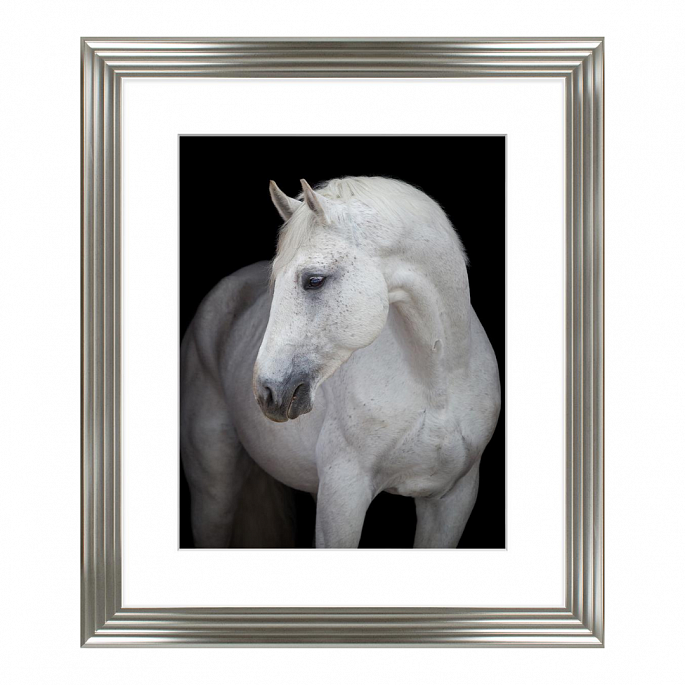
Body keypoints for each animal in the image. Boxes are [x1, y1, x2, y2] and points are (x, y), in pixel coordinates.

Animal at [180, 176, 501, 548]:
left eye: (314, 280)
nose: (267, 392)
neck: (438, 385)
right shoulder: (344, 496)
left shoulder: (453, 500)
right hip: (213, 491)